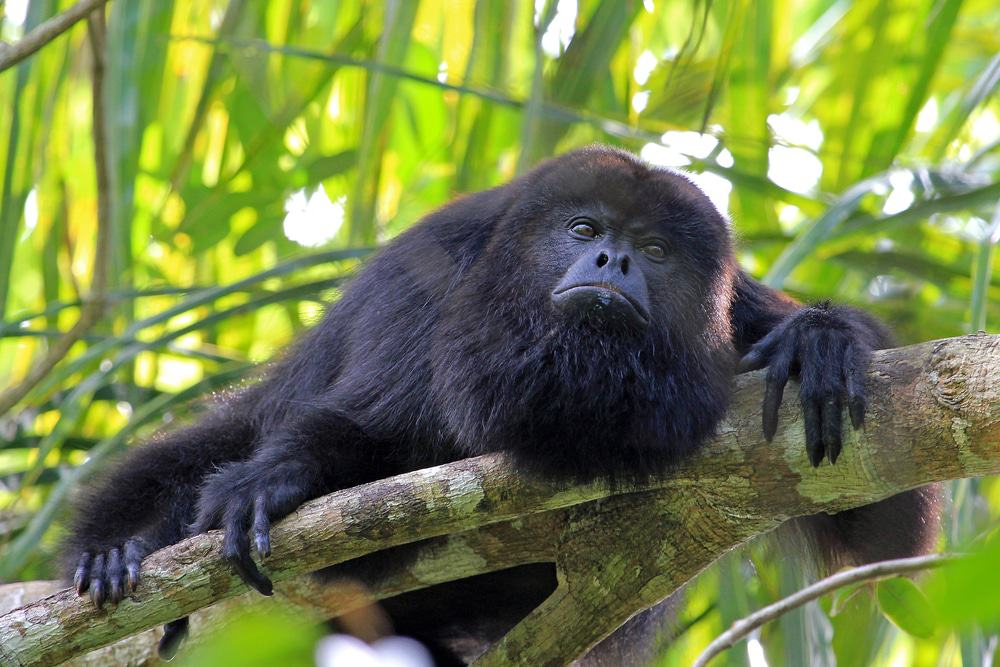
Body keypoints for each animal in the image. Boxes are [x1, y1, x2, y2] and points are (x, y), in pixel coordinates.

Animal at [63, 146, 939, 663]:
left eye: (656, 250)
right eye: (583, 227)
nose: (614, 259)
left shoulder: (729, 317)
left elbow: (881, 516)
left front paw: (819, 340)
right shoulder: (429, 278)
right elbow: (362, 432)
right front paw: (272, 480)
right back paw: (118, 549)